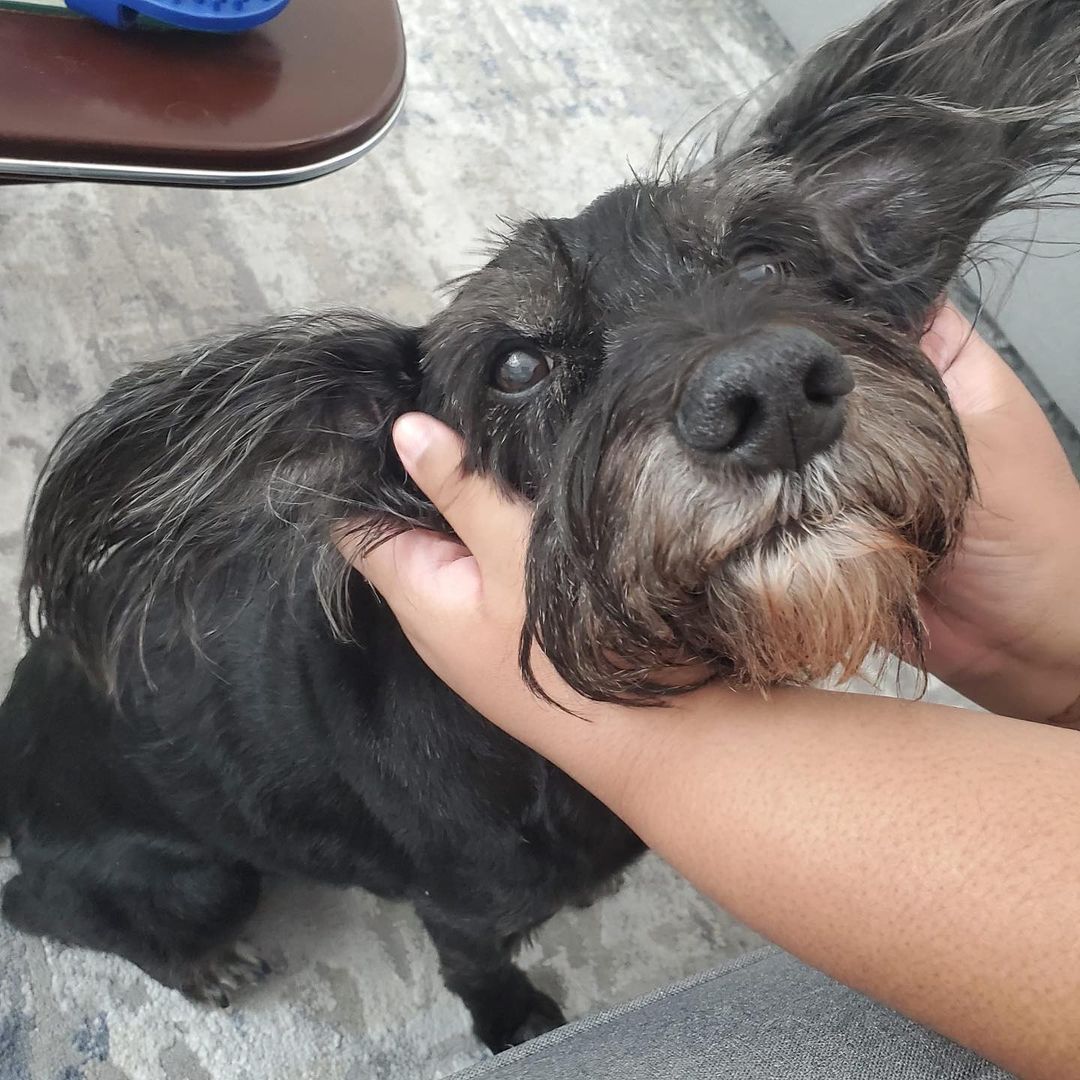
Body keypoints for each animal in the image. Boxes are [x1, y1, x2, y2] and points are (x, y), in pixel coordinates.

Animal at [2, 0, 1080, 1049]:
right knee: (45, 905)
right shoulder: (461, 912)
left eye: (769, 262)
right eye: (516, 364)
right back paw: (199, 960)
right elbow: (478, 970)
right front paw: (516, 1020)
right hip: (197, 876)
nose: (773, 393)